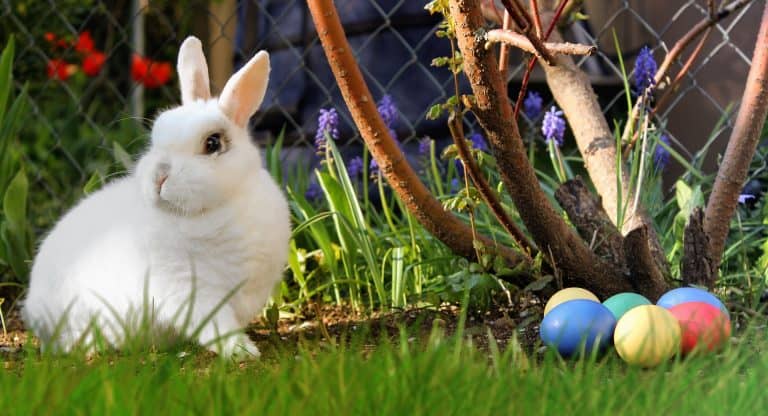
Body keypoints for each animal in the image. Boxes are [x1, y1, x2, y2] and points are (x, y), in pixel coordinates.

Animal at [21, 36, 292, 358]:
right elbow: (216, 326)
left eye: (213, 143)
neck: (217, 208)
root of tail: (32, 310)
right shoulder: (190, 291)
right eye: (156, 137)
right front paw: (242, 351)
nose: (159, 177)